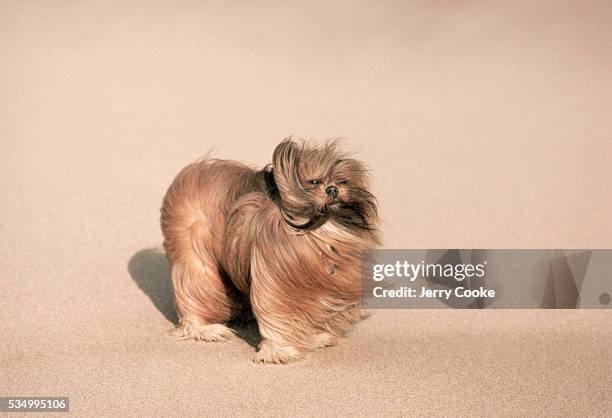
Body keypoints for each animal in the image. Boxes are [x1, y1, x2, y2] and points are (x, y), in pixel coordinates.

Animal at [160, 138, 380, 362]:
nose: (333, 189)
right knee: (193, 288)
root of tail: (192, 172)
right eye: (314, 181)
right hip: (195, 257)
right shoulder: (273, 278)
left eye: (343, 181)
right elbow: (275, 311)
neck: (319, 232)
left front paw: (315, 337)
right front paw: (279, 350)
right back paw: (205, 329)